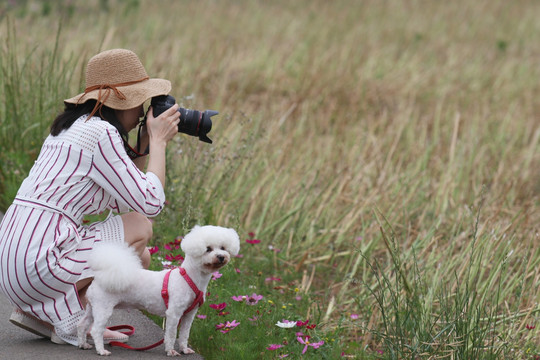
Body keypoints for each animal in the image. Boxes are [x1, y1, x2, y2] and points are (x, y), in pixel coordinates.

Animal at [76, 224, 238, 356]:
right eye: (208, 249)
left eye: (223, 248)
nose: (221, 256)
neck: (190, 278)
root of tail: (99, 276)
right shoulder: (174, 313)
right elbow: (171, 334)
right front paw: (171, 351)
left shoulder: (189, 314)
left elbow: (184, 334)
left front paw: (184, 349)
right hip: (103, 307)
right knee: (96, 330)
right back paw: (101, 350)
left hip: (93, 307)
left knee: (83, 324)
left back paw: (83, 344)